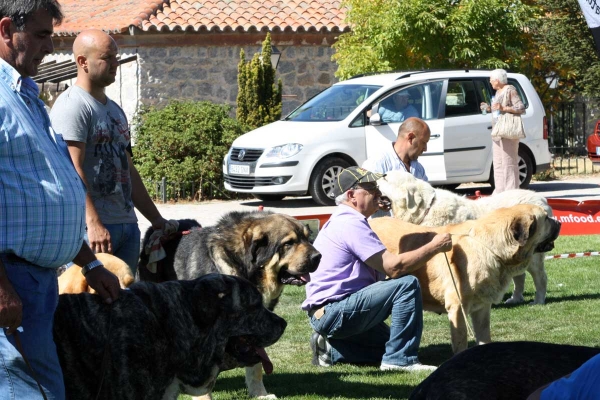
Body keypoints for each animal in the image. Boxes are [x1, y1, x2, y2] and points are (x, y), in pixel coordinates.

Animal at [372, 206, 560, 354]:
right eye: (546, 218)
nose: (559, 222)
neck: (491, 247)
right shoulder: (457, 308)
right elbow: (461, 339)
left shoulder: (482, 307)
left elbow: (484, 335)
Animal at [380, 170, 552, 304]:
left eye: (385, 178)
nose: (375, 179)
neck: (426, 210)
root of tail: (542, 199)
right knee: (520, 276)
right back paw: (516, 298)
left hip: (533, 256)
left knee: (540, 277)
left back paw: (538, 301)